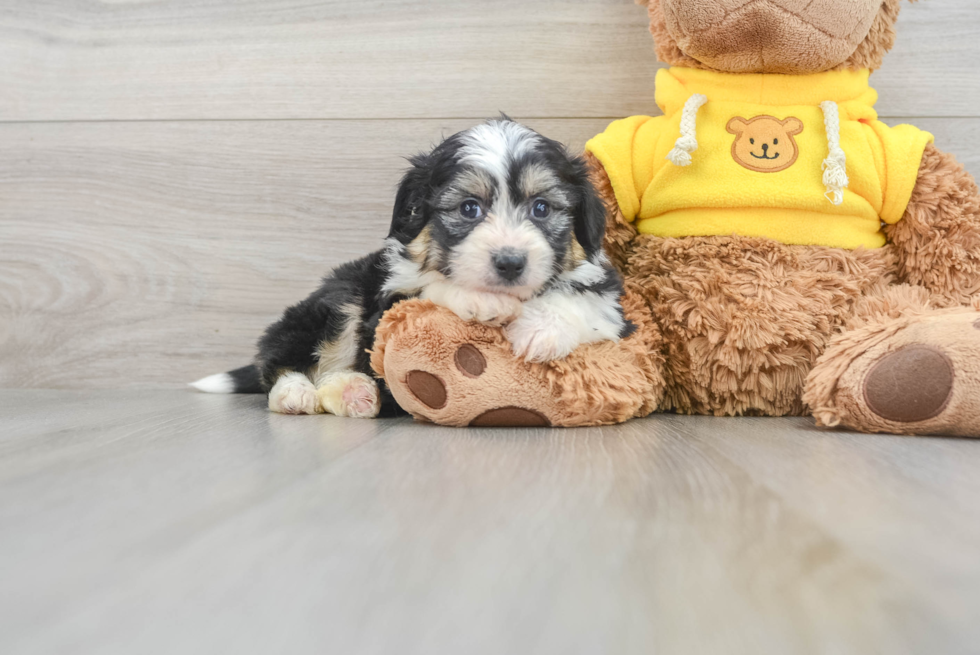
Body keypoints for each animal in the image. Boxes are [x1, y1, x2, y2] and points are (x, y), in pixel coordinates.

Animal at [190, 120, 632, 418]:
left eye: (542, 208)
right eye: (469, 208)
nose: (509, 262)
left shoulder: (613, 308)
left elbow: (586, 303)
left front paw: (541, 331)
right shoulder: (384, 301)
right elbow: (428, 287)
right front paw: (480, 300)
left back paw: (354, 392)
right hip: (338, 299)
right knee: (280, 358)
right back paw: (295, 393)